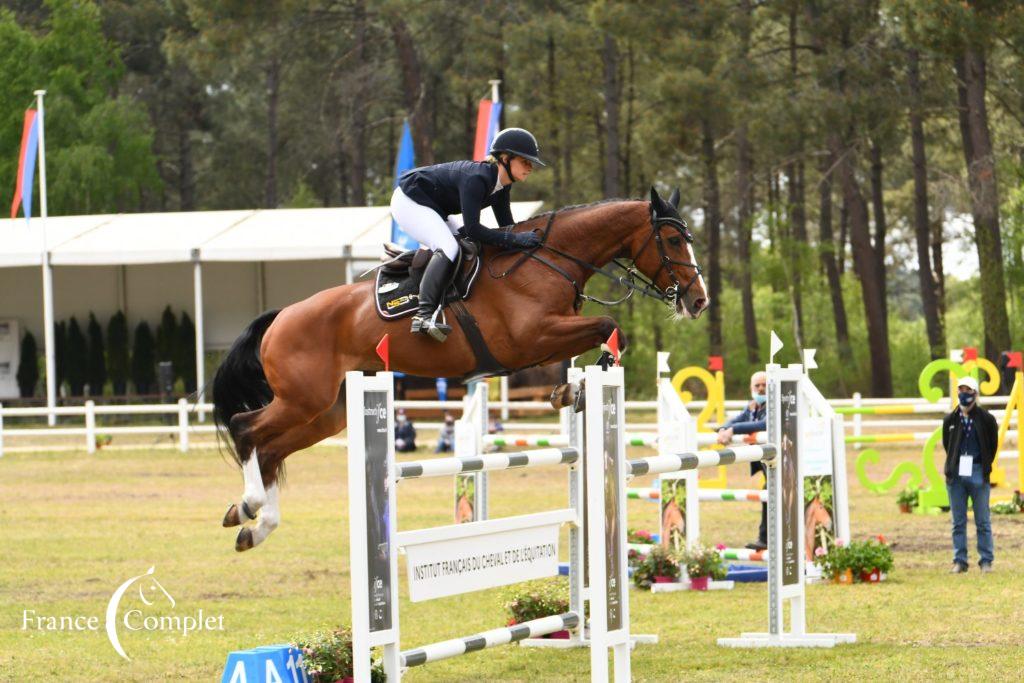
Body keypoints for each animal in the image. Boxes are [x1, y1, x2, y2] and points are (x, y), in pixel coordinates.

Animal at [211, 187, 708, 548]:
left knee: (272, 449)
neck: (550, 258)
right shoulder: (532, 336)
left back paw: (252, 522)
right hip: (304, 398)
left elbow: (596, 341)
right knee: (246, 428)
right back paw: (250, 503)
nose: (698, 300)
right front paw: (581, 385)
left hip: (327, 412)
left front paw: (569, 391)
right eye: (671, 240)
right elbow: (610, 327)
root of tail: (281, 316)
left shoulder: (546, 340)